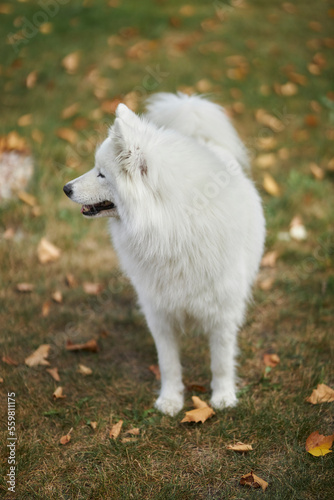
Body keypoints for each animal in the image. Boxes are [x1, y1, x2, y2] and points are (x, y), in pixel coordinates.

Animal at [64, 92, 264, 416]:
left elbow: (221, 361)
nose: (66, 188)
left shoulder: (222, 313)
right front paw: (170, 400)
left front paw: (223, 397)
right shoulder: (159, 313)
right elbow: (169, 364)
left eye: (102, 174)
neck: (174, 228)